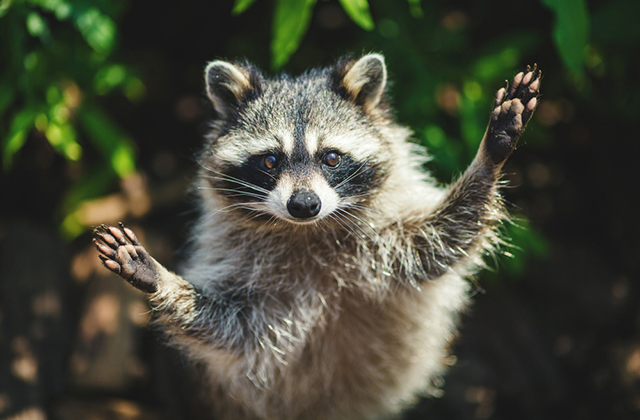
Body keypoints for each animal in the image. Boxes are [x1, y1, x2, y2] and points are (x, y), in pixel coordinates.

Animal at [94, 54, 540, 418]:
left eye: (331, 157)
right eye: (270, 160)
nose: (304, 204)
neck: (307, 231)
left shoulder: (384, 246)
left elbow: (443, 238)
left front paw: (491, 154)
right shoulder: (249, 273)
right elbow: (227, 327)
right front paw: (161, 279)